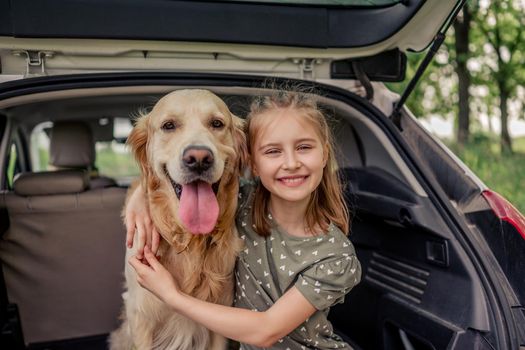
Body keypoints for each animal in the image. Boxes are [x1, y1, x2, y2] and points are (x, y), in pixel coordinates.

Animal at [109, 89, 248, 350]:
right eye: (169, 126)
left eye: (217, 123)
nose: (199, 158)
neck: (190, 240)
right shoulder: (141, 316)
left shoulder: (220, 313)